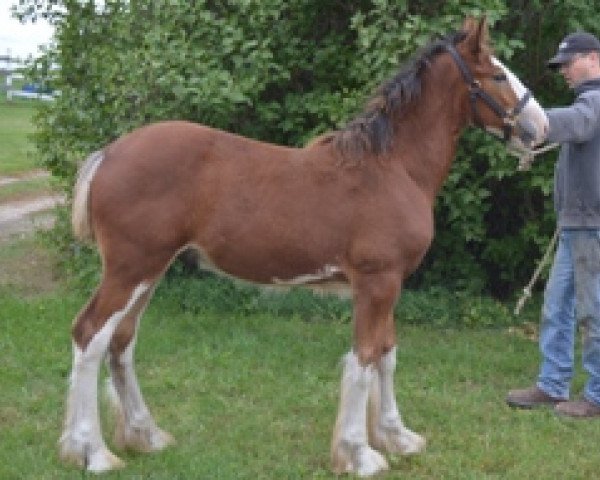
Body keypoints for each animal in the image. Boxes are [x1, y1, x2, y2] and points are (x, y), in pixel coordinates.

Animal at [59, 17, 548, 476]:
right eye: (498, 75)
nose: (540, 126)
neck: (392, 168)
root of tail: (109, 154)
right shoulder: (377, 282)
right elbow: (364, 360)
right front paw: (360, 454)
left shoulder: (389, 285)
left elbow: (387, 355)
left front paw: (397, 437)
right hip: (131, 269)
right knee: (90, 336)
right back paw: (92, 452)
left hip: (150, 271)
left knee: (122, 341)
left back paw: (145, 435)